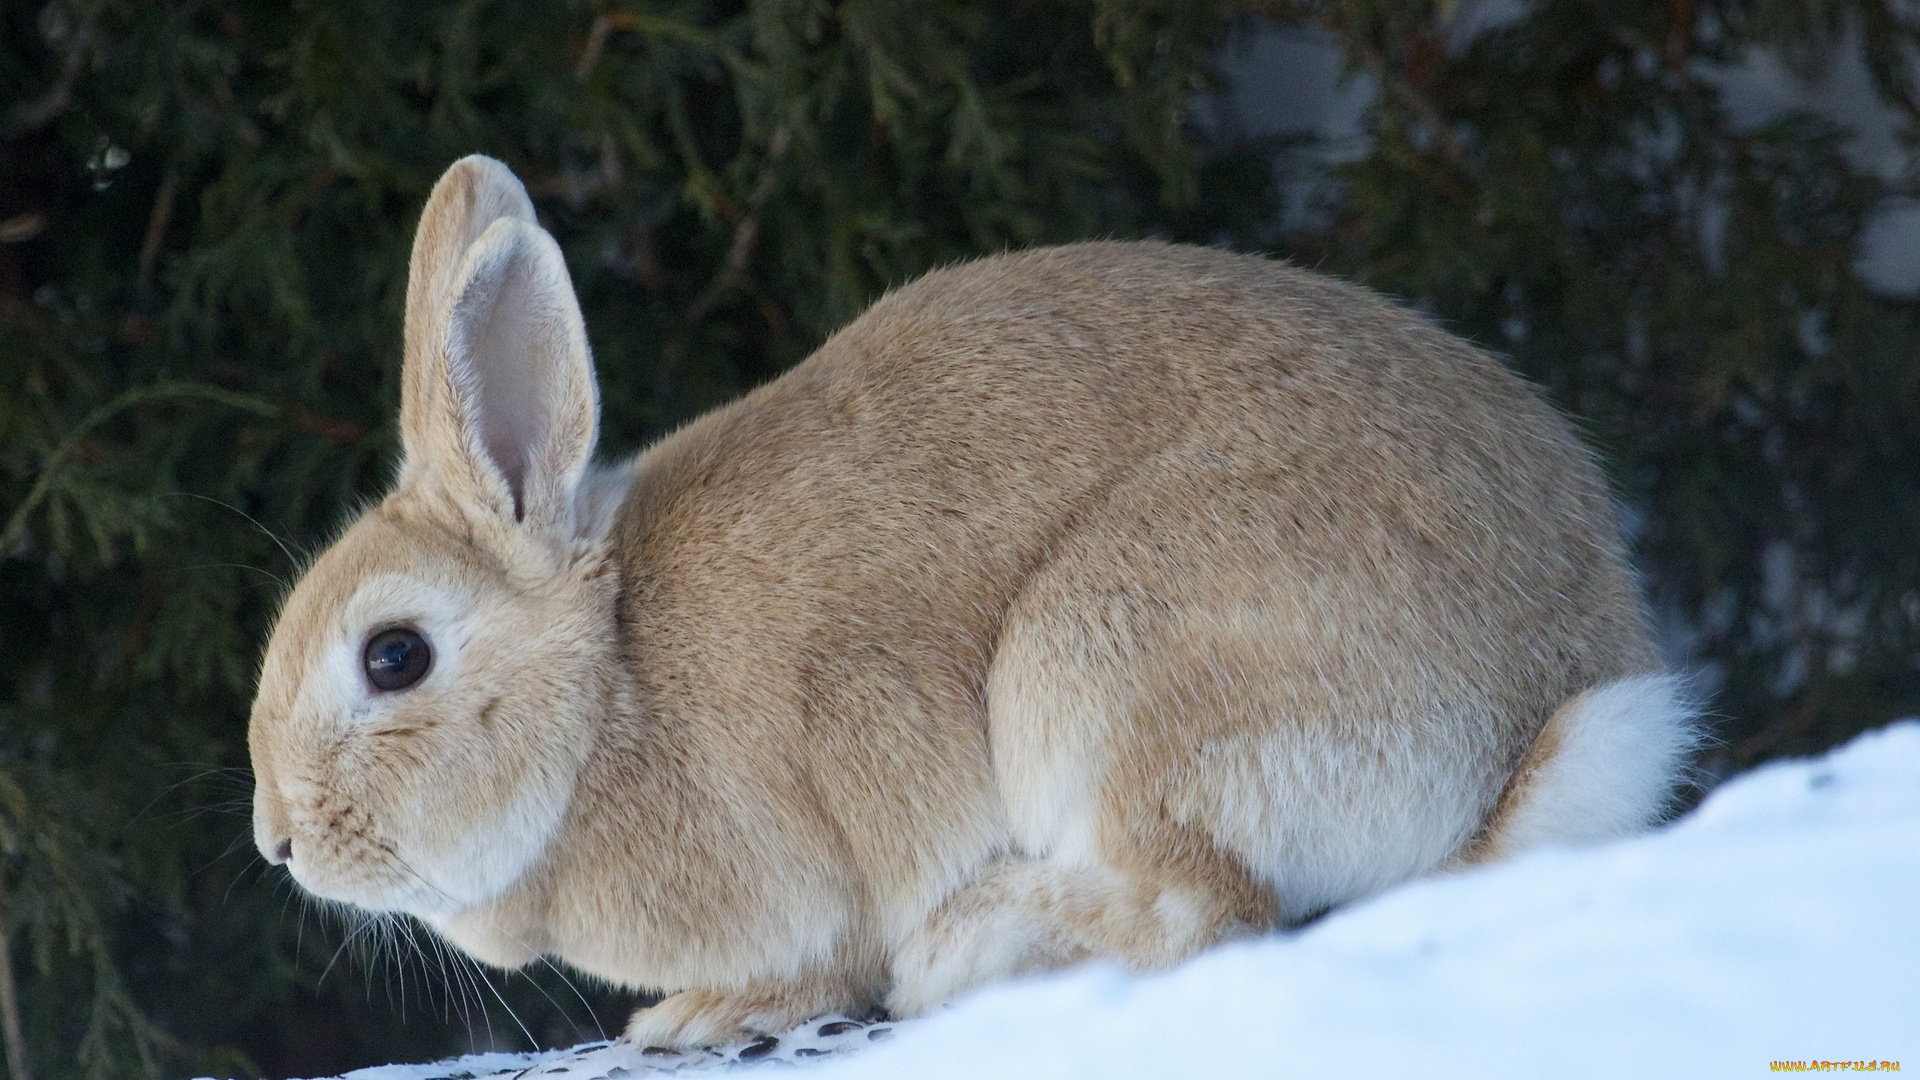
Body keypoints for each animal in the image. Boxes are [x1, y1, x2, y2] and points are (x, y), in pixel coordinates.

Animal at [251, 153, 1697, 1045]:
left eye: (393, 657)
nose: (279, 843)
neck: (610, 684)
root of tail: (1528, 729)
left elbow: (816, 963)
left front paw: (700, 1020)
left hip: (1105, 672)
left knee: (1200, 913)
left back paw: (969, 951)